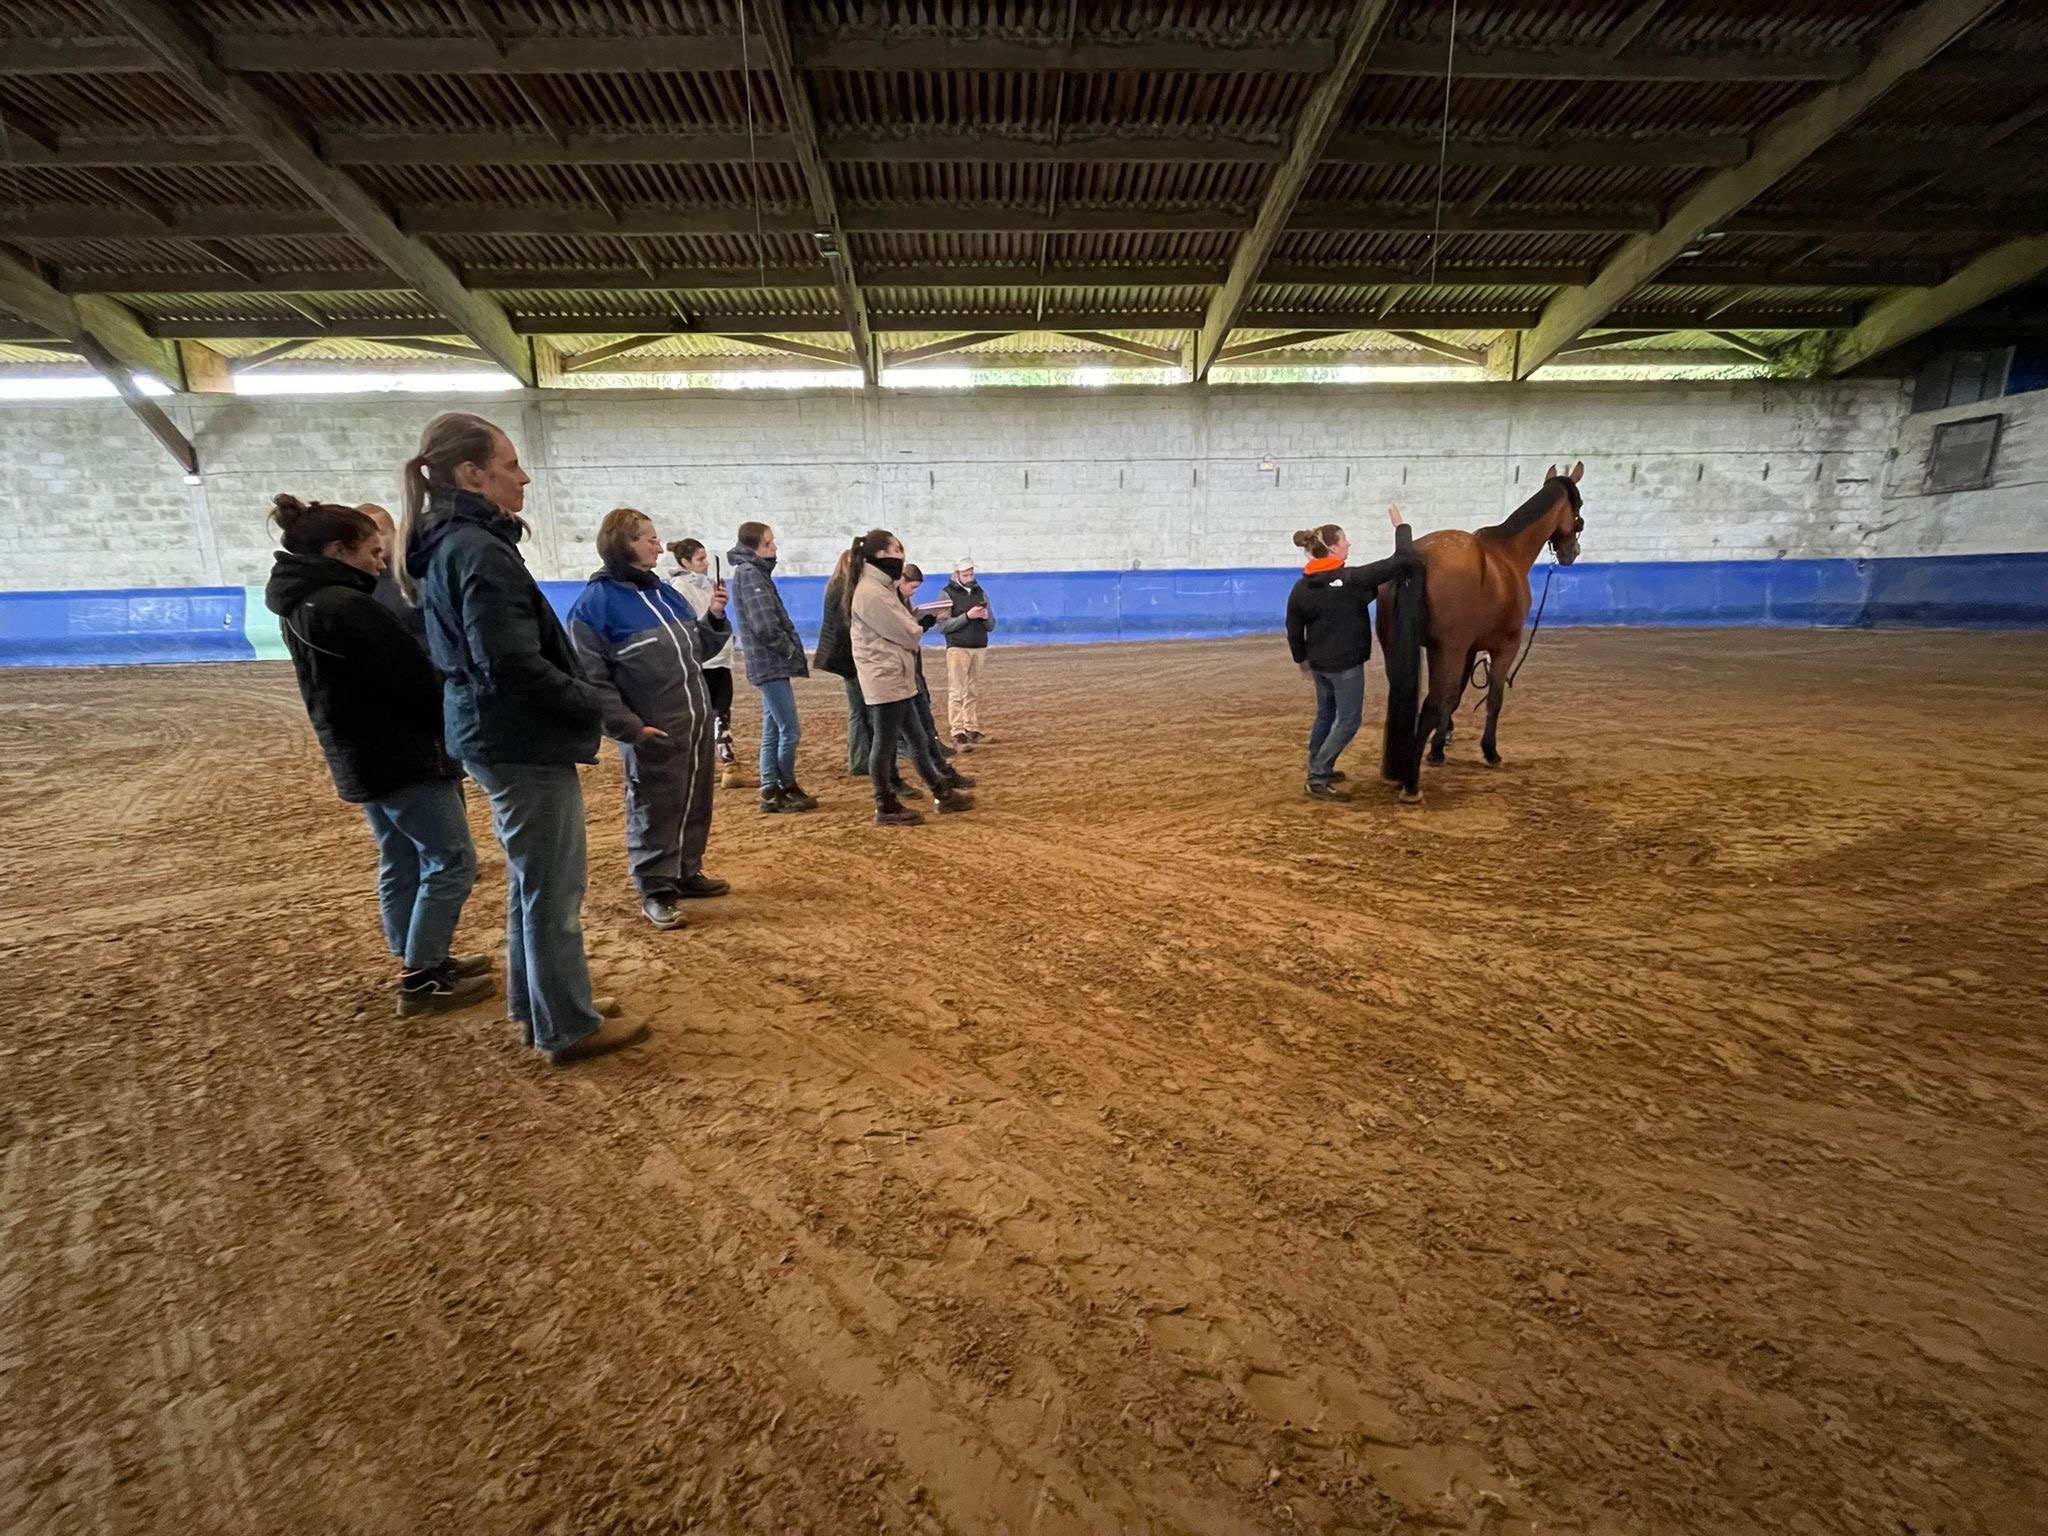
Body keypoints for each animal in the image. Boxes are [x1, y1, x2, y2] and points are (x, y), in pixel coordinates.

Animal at [1376, 460, 1581, 798]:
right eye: (1578, 506)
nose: (1571, 553)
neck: (1509, 552)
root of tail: (1416, 558)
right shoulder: (1504, 647)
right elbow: (1493, 699)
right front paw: (1490, 751)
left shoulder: (1465, 649)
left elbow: (1455, 698)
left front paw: (1438, 748)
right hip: (1450, 650)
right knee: (1431, 703)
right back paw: (1411, 783)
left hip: (1400, 646)